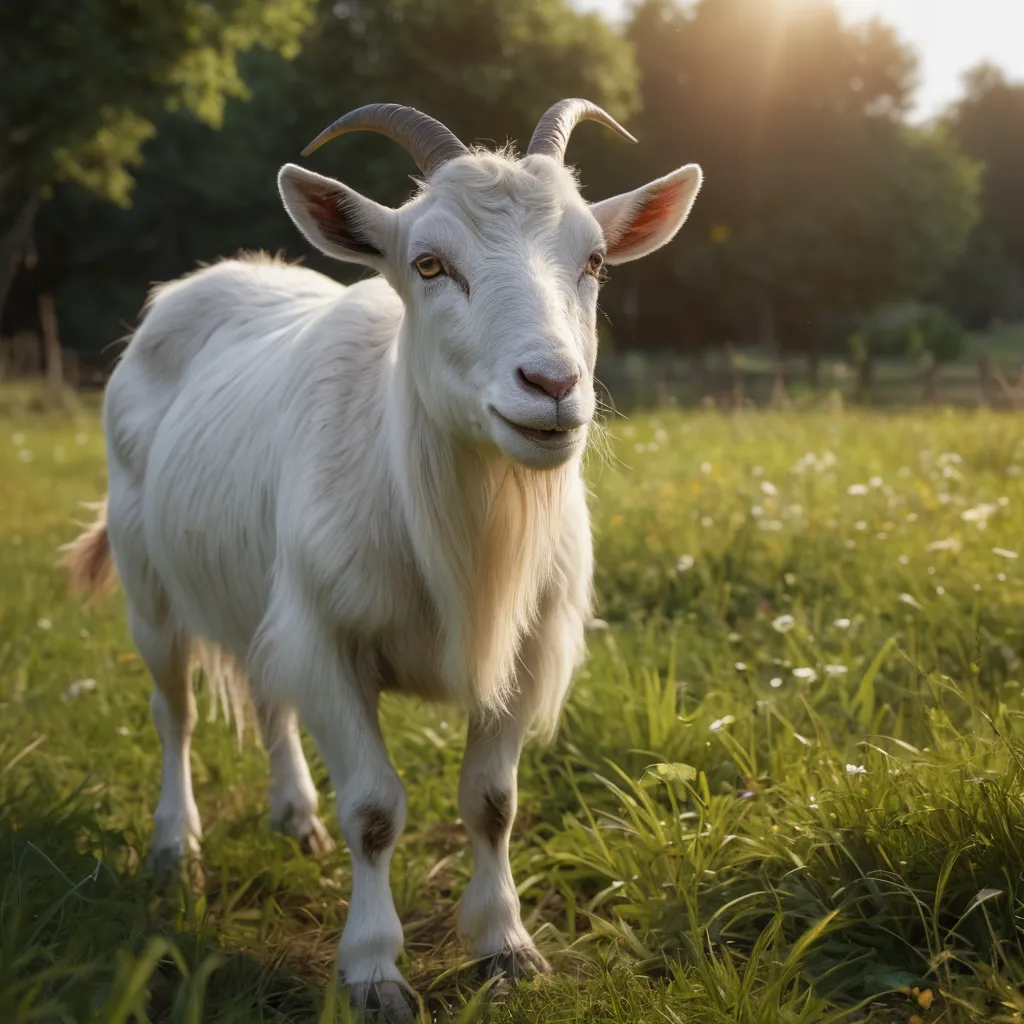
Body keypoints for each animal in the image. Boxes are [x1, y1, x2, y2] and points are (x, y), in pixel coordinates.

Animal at [63, 99, 702, 1019]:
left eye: (593, 261)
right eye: (429, 264)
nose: (551, 386)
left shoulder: (523, 645)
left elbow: (493, 803)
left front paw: (506, 948)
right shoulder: (330, 639)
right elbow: (373, 811)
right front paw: (372, 970)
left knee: (266, 694)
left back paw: (295, 819)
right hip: (149, 583)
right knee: (173, 711)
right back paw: (175, 851)